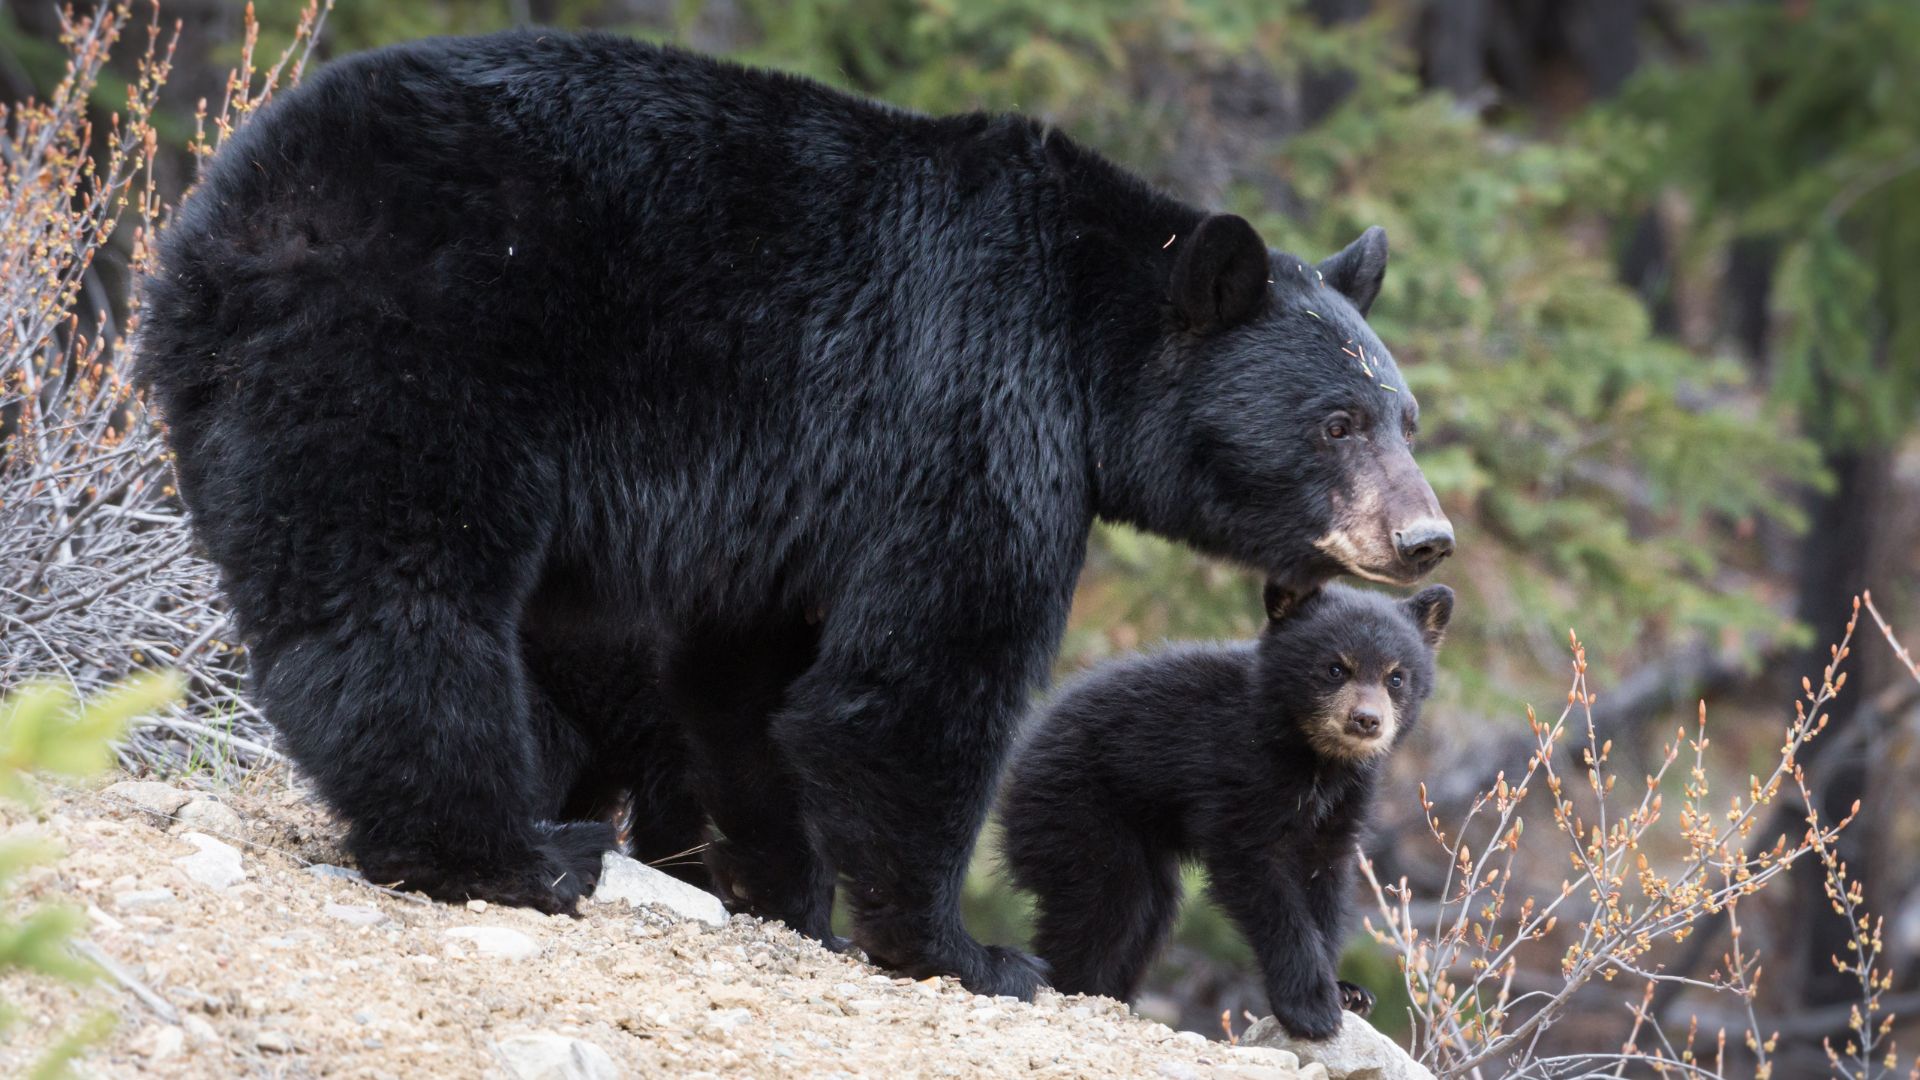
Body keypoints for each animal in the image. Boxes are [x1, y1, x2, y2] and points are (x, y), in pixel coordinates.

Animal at [998, 581, 1453, 1037]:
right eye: (1335, 668)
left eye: (1396, 677)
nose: (1366, 720)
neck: (1314, 758)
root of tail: (1022, 756)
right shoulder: (1237, 771)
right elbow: (1257, 876)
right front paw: (1312, 1005)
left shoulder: (1345, 801)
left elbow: (1323, 877)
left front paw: (1347, 991)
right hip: (1077, 807)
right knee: (1107, 904)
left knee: (1149, 914)